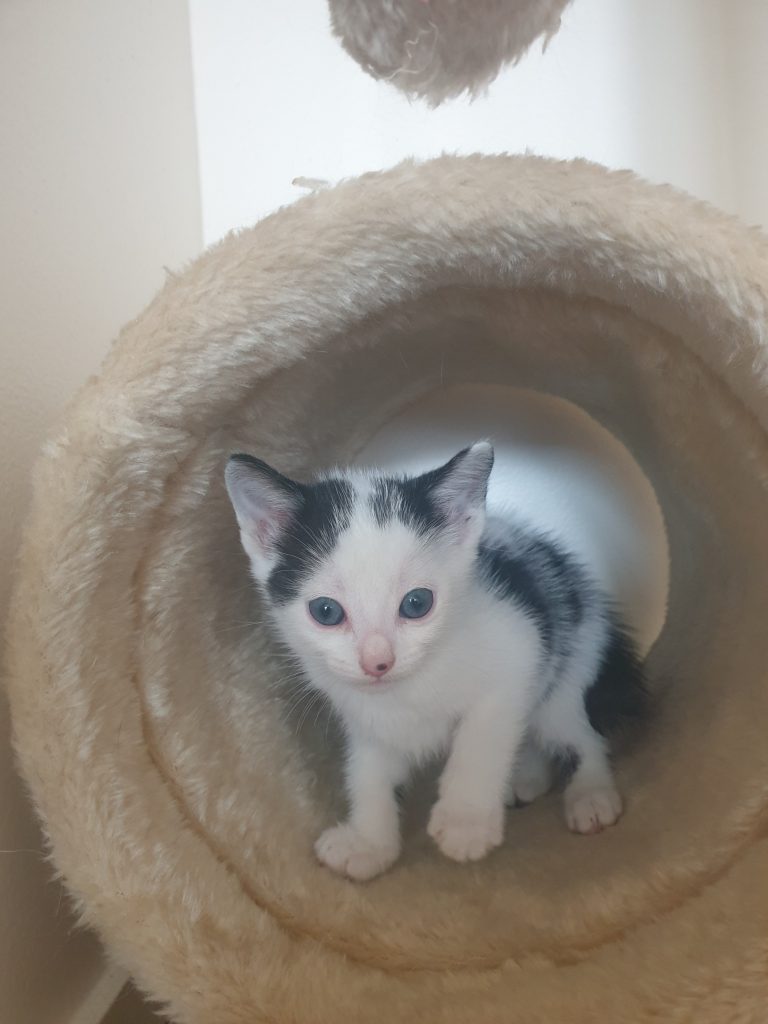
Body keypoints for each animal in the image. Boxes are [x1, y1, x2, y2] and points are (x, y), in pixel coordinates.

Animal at [225, 442, 647, 881]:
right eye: (325, 611)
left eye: (417, 603)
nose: (377, 662)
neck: (406, 689)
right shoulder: (366, 720)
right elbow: (367, 773)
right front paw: (369, 843)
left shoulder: (518, 650)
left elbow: (481, 739)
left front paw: (466, 822)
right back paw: (526, 777)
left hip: (568, 672)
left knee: (581, 736)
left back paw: (590, 794)